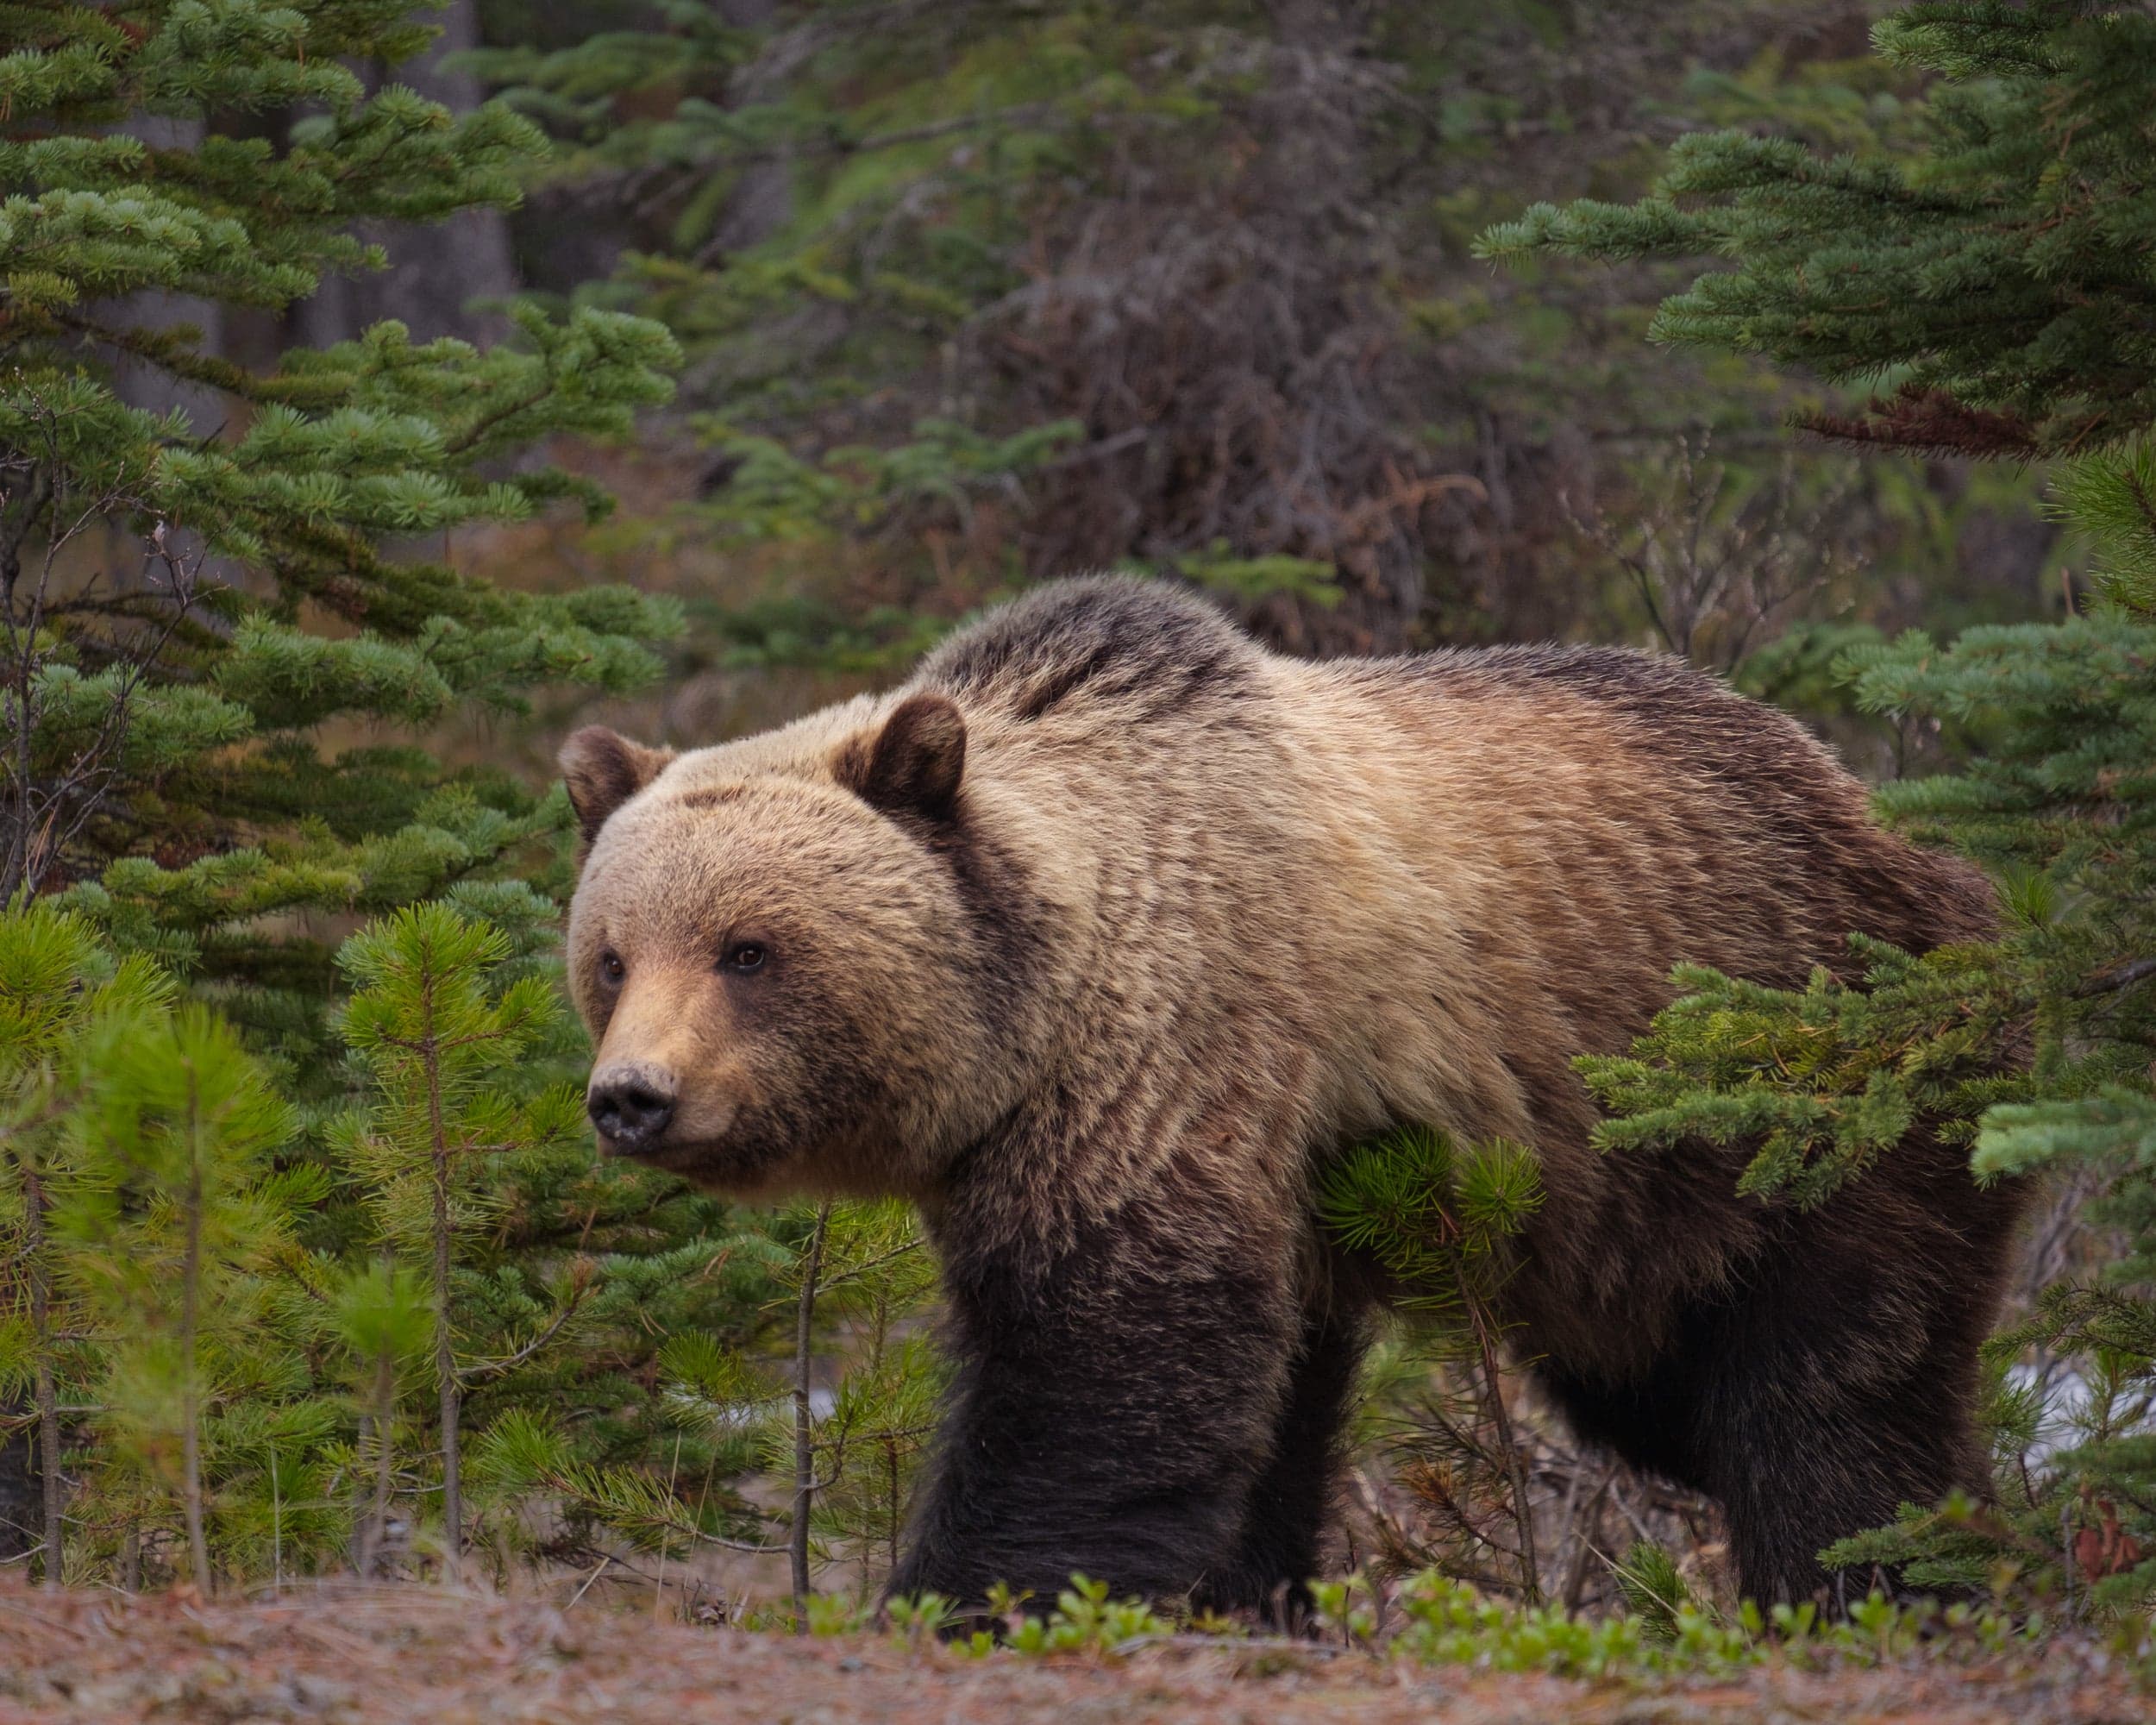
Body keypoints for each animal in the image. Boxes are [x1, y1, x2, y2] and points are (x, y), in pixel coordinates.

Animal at [558, 574, 2024, 1615]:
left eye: (750, 950)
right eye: (612, 955)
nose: (631, 1097)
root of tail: (1906, 840)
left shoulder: (1174, 1053)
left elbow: (1099, 1369)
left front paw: (963, 1601)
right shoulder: (1282, 1169)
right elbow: (1254, 1408)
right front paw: (1245, 1599)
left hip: (1806, 1105)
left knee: (1828, 1394)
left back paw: (1881, 1586)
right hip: (1623, 1226)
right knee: (1679, 1399)